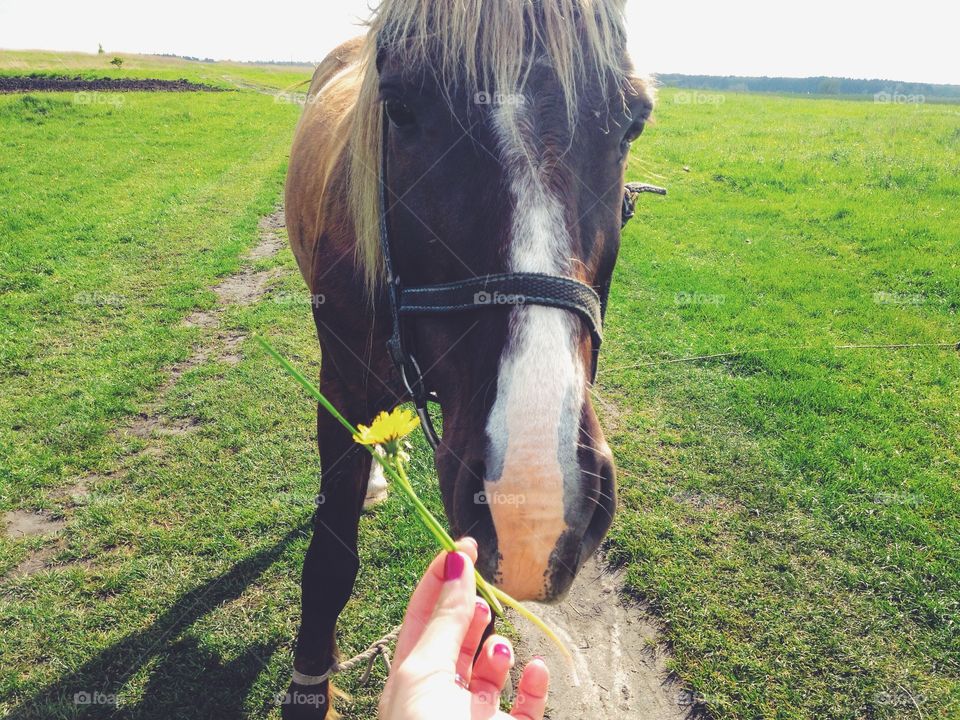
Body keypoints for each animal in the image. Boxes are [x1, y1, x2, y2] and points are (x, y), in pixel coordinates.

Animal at [284, 1, 653, 716]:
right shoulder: (339, 384)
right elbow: (331, 556)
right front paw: (310, 682)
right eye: (400, 108)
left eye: (634, 121)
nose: (536, 508)